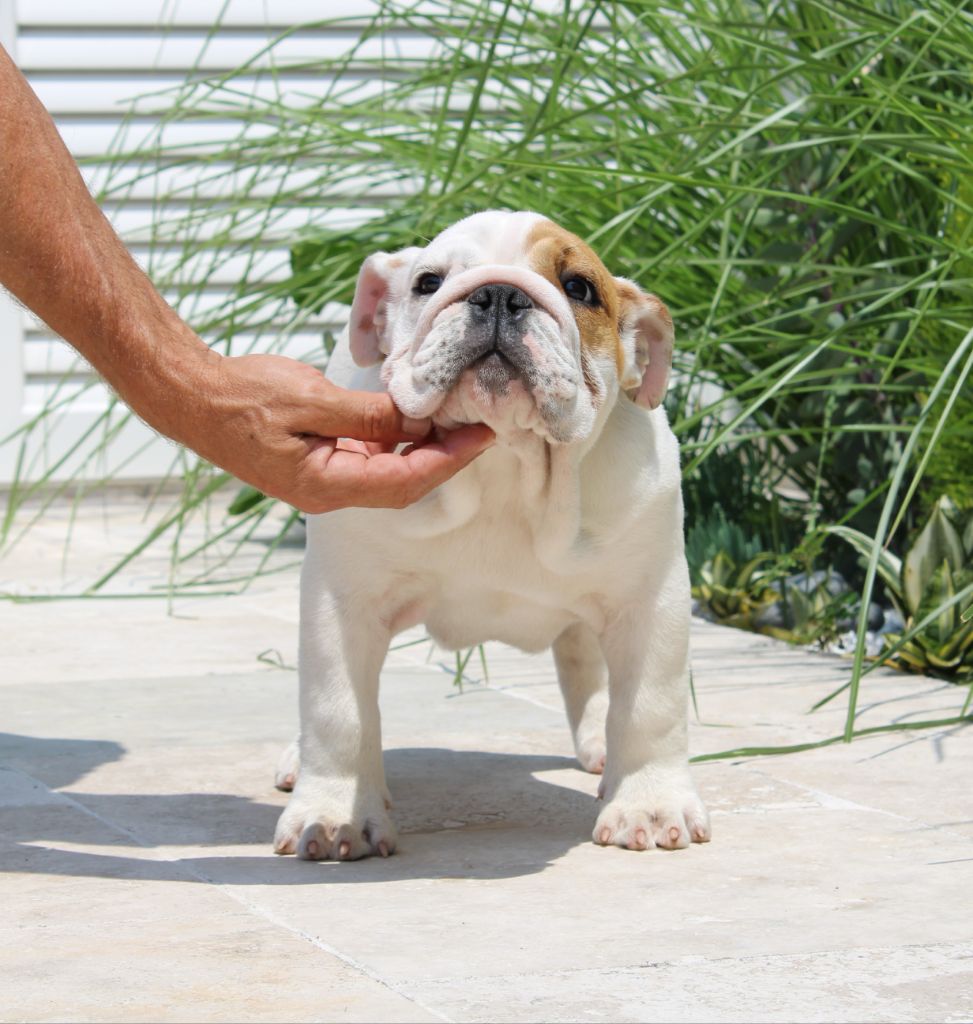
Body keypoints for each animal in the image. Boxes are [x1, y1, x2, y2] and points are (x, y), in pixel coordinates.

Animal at [270, 211, 712, 860]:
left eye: (579, 288)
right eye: (428, 282)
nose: (500, 294)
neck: (506, 466)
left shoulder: (650, 602)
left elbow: (651, 707)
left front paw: (649, 805)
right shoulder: (342, 602)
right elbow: (338, 712)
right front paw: (333, 815)